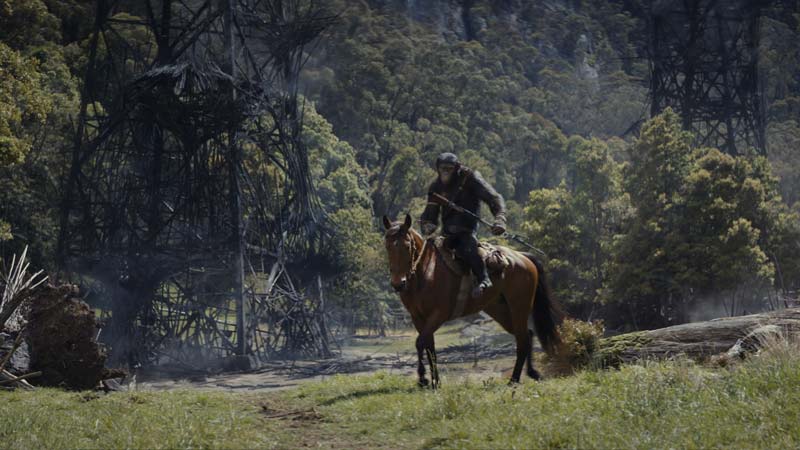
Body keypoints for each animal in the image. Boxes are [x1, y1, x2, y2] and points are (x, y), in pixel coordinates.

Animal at [382, 214, 564, 386]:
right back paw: (531, 373)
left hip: (519, 306)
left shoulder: (438, 315)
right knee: (526, 335)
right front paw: (435, 382)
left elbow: (420, 343)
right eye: (387, 246)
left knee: (523, 339)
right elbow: (429, 347)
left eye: (407, 246)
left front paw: (422, 379)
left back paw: (514, 380)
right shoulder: (418, 318)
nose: (398, 283)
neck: (426, 272)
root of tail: (522, 257)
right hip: (500, 310)